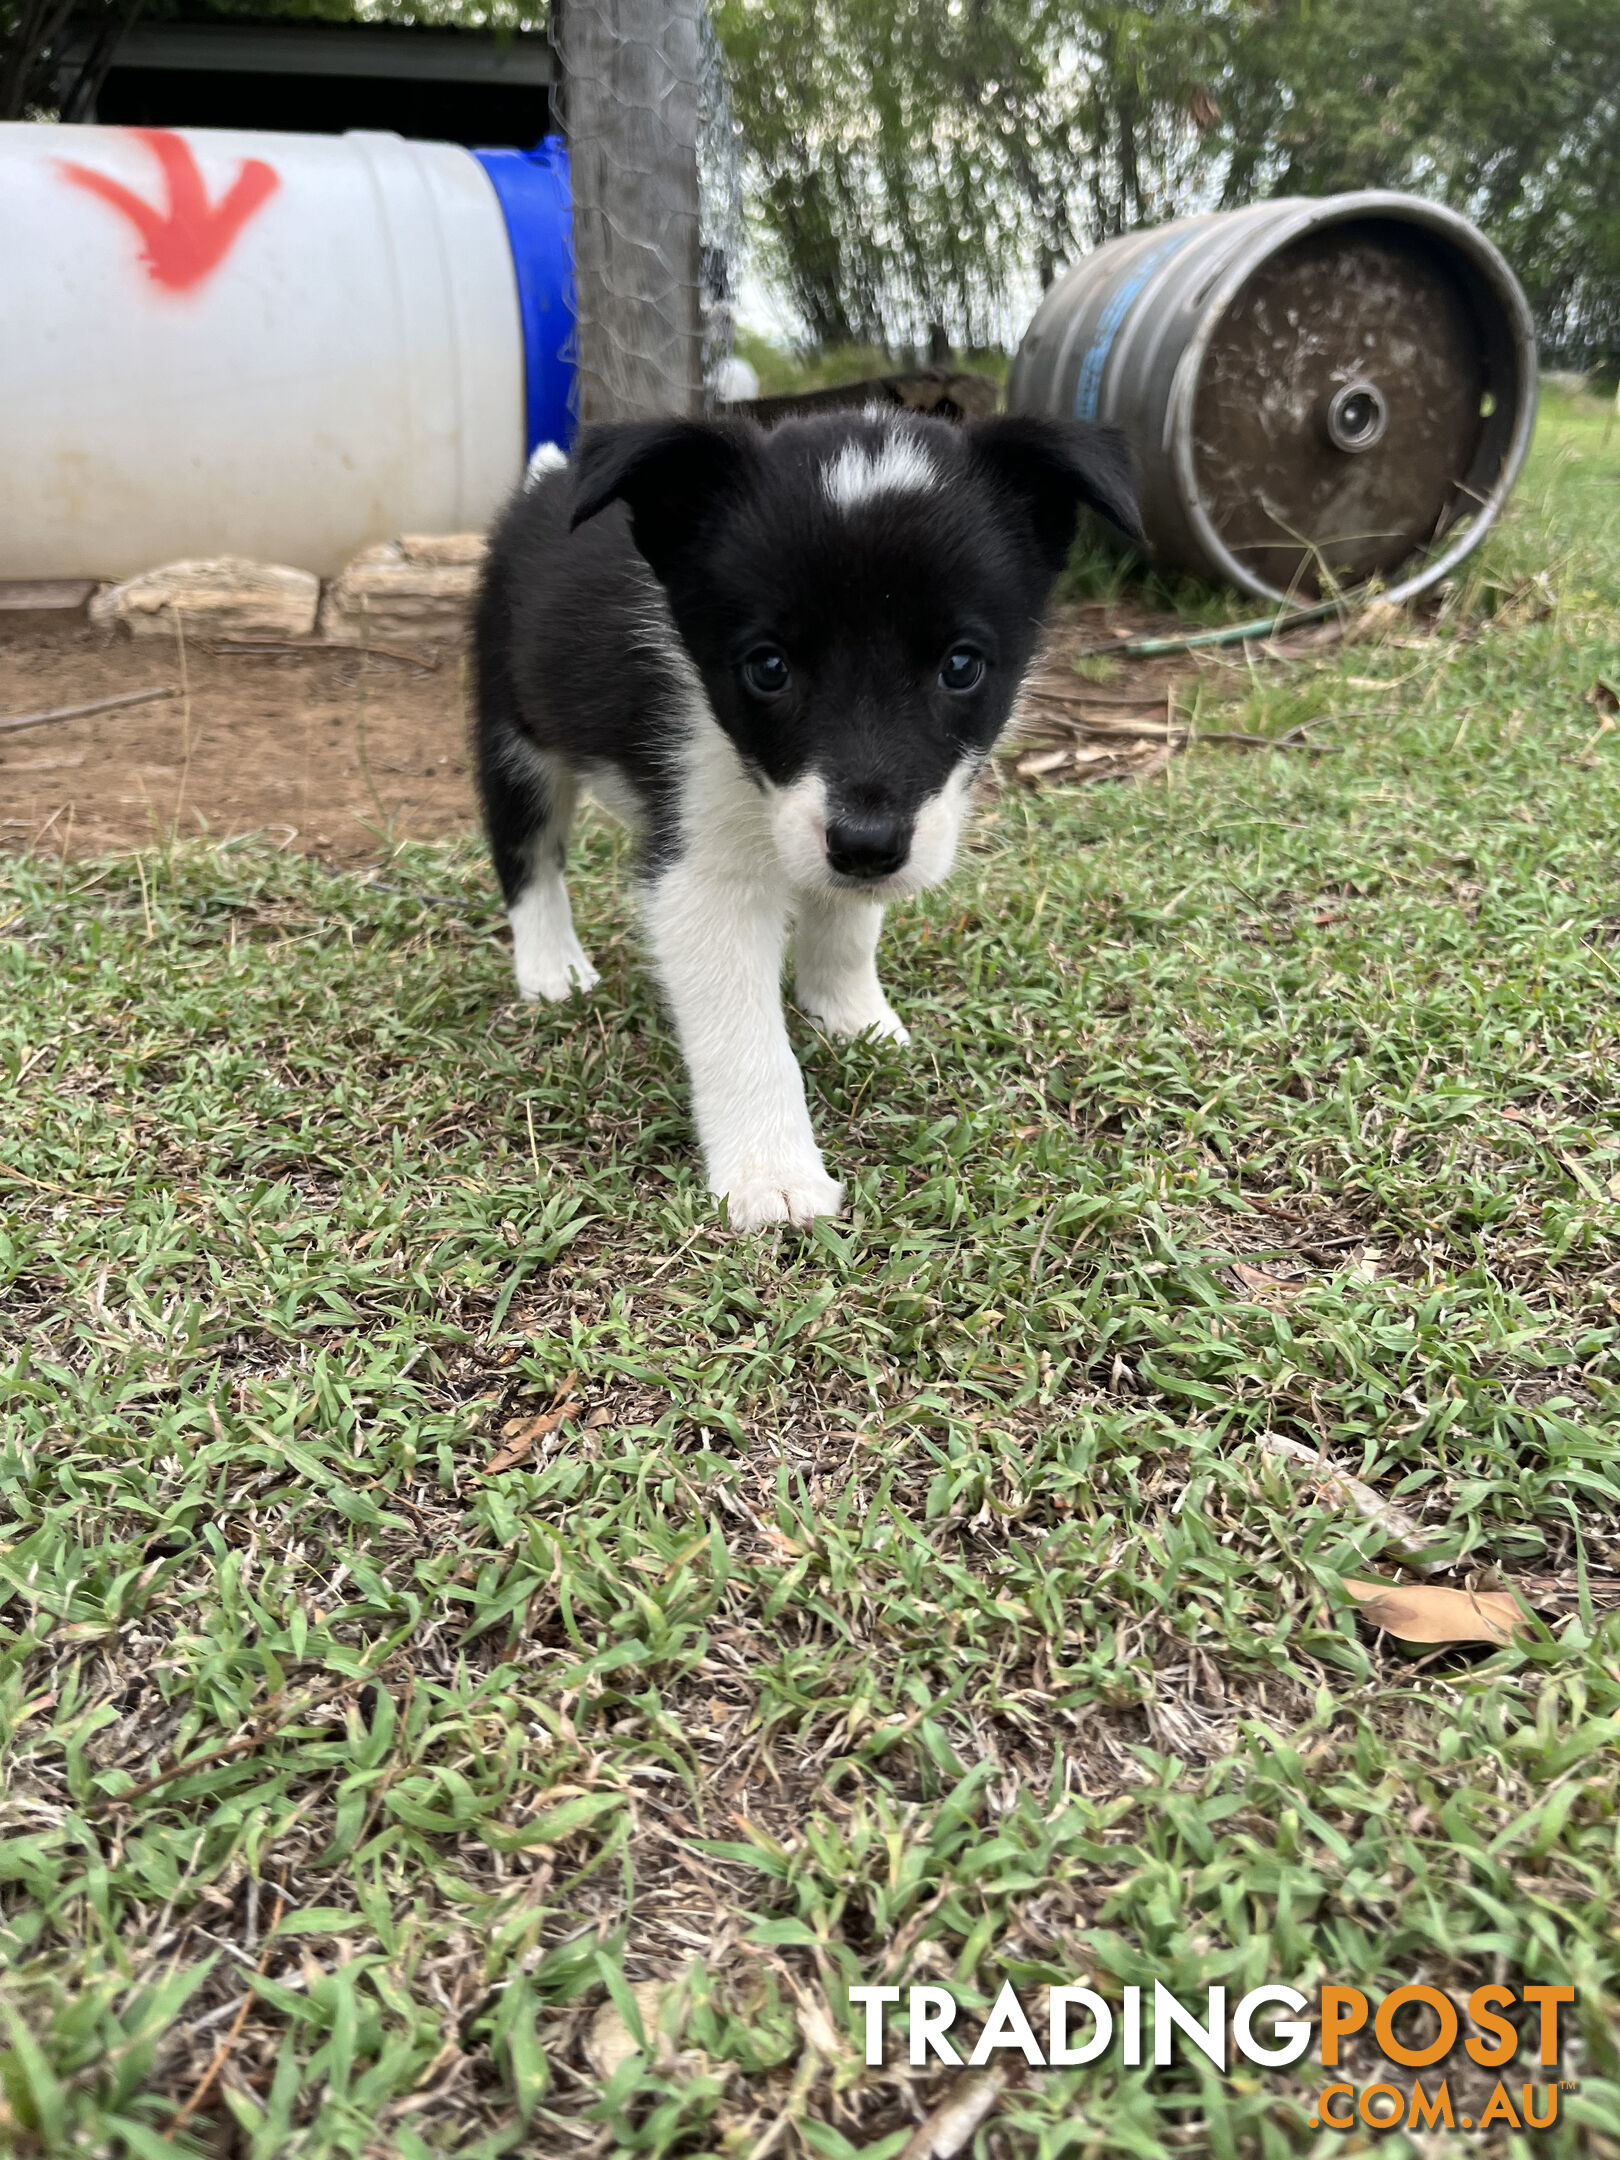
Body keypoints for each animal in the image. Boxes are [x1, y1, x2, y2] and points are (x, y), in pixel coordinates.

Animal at [475, 412, 1140, 1235]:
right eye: (768, 667)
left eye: (961, 666)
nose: (867, 846)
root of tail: (543, 484)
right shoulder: (703, 871)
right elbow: (743, 1033)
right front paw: (774, 1176)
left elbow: (848, 927)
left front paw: (851, 1017)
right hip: (512, 730)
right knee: (525, 853)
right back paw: (552, 969)